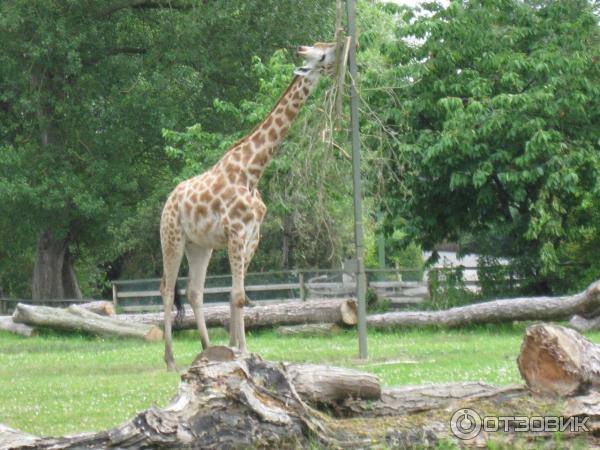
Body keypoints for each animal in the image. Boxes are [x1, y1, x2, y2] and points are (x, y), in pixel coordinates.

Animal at [159, 43, 338, 370]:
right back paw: (170, 360)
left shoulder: (252, 237)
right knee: (167, 288)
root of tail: (168, 201)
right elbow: (239, 296)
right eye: (320, 55)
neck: (252, 172)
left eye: (323, 47)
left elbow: (236, 296)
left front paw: (237, 350)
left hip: (199, 246)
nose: (336, 49)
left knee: (194, 291)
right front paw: (241, 351)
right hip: (172, 238)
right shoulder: (235, 232)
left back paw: (207, 349)